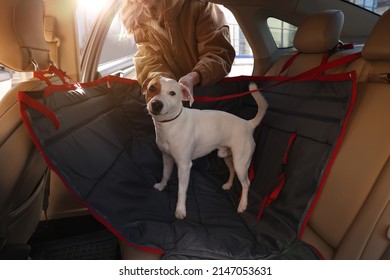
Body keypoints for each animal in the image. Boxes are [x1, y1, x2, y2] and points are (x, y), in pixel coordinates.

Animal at [144, 76, 268, 219]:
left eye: (172, 93)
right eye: (152, 88)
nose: (156, 104)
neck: (170, 124)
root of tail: (248, 124)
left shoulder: (184, 166)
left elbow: (181, 190)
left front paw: (180, 210)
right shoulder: (167, 157)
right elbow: (165, 174)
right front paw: (161, 185)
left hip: (241, 164)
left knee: (246, 183)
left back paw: (242, 204)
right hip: (227, 156)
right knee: (232, 171)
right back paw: (228, 185)